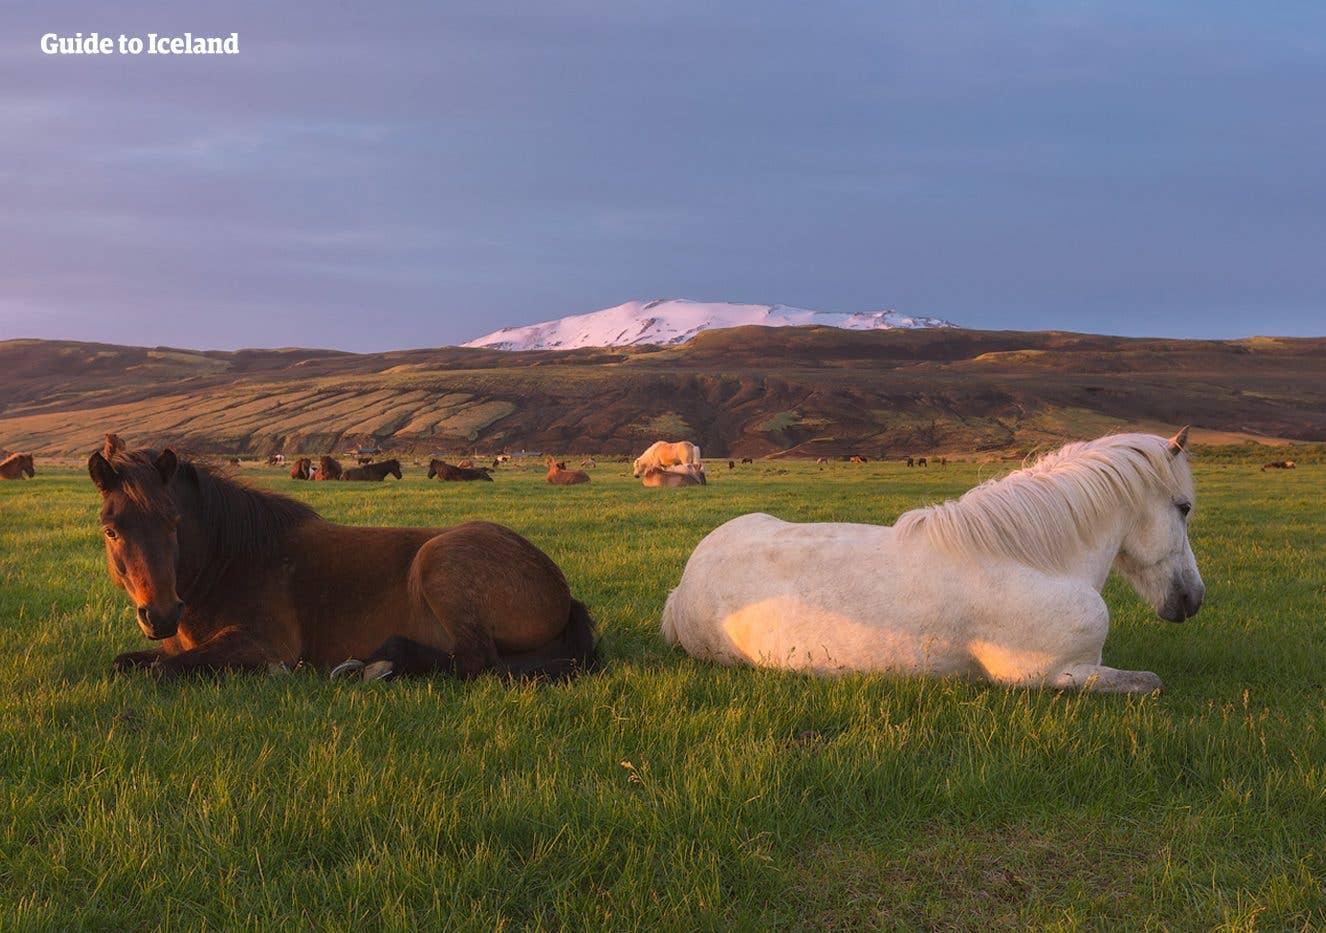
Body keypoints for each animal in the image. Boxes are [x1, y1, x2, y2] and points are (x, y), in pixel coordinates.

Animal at [86, 436, 597, 681]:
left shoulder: (264, 644)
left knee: (476, 662)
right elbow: (130, 662)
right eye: (111, 530)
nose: (161, 616)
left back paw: (383, 664)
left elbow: (165, 671)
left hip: (439, 563)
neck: (231, 563)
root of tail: (559, 586)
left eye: (173, 523)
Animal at [661, 429, 1203, 694]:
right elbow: (1150, 684)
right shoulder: (1055, 675)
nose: (1193, 598)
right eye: (1184, 507)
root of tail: (682, 584)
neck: (1032, 560)